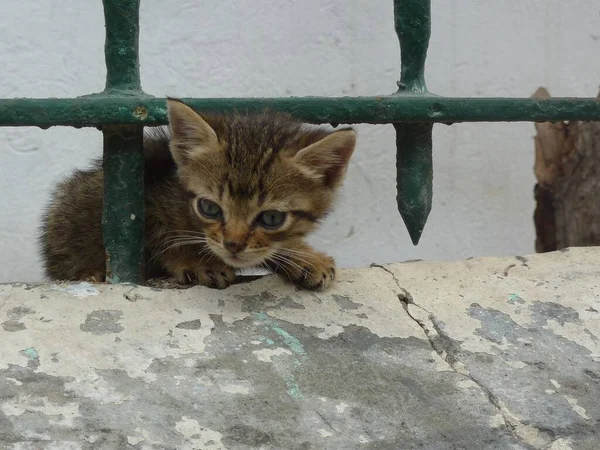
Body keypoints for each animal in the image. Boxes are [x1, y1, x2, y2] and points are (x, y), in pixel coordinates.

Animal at [41, 99, 356, 290]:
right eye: (209, 208)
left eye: (271, 218)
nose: (233, 245)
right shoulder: (146, 200)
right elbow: (163, 237)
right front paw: (197, 260)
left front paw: (303, 256)